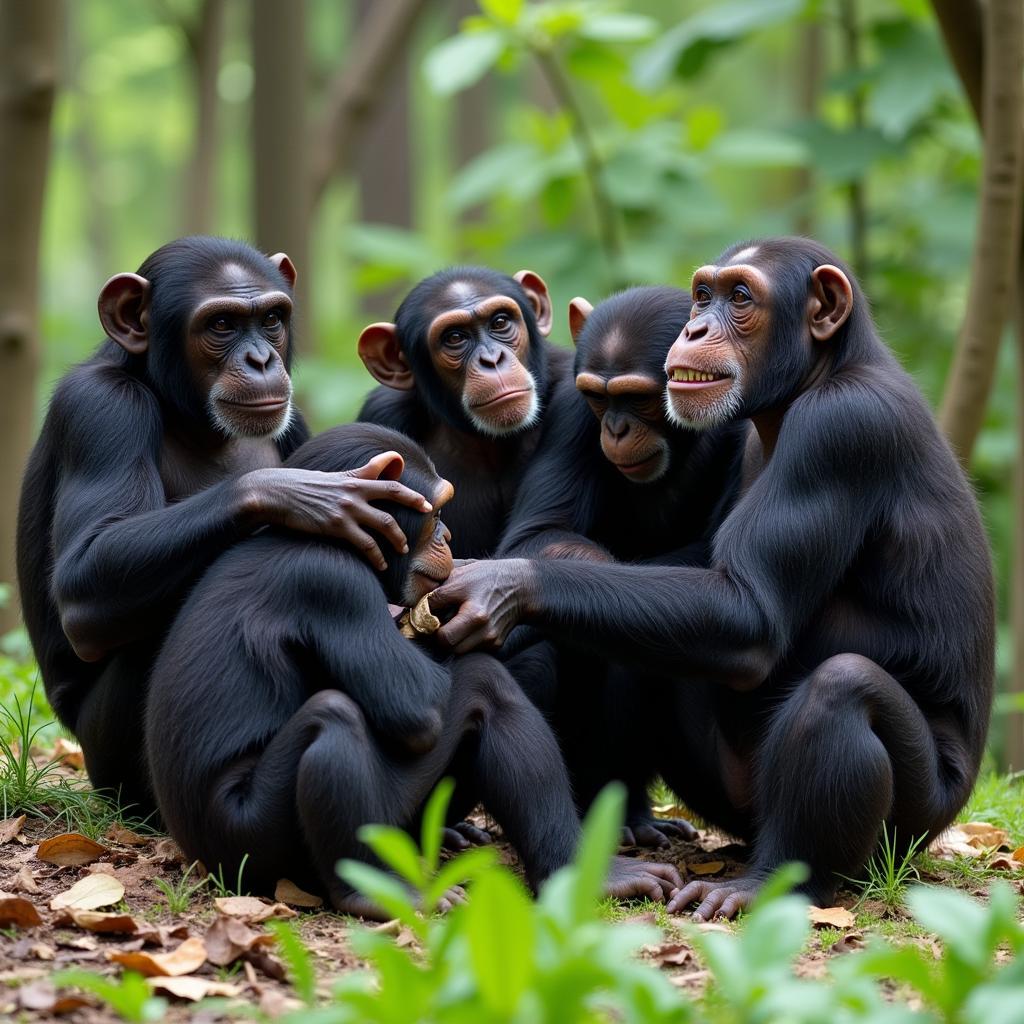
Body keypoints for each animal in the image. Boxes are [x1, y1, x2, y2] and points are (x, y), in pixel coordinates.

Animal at [18, 235, 432, 811]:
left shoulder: (295, 422)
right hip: (106, 764)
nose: (260, 359)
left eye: (271, 319)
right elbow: (85, 576)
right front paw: (308, 494)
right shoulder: (100, 408)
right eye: (222, 325)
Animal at [144, 419, 684, 917]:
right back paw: (373, 892)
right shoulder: (334, 585)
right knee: (348, 715)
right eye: (438, 509)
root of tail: (200, 862)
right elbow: (418, 707)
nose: (448, 534)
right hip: (255, 842)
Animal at [430, 239, 991, 921]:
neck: (818, 376)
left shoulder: (839, 429)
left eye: (740, 297)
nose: (696, 329)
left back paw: (772, 880)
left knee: (843, 689)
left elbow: (748, 609)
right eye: (703, 296)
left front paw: (501, 585)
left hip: (912, 828)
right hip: (722, 791)